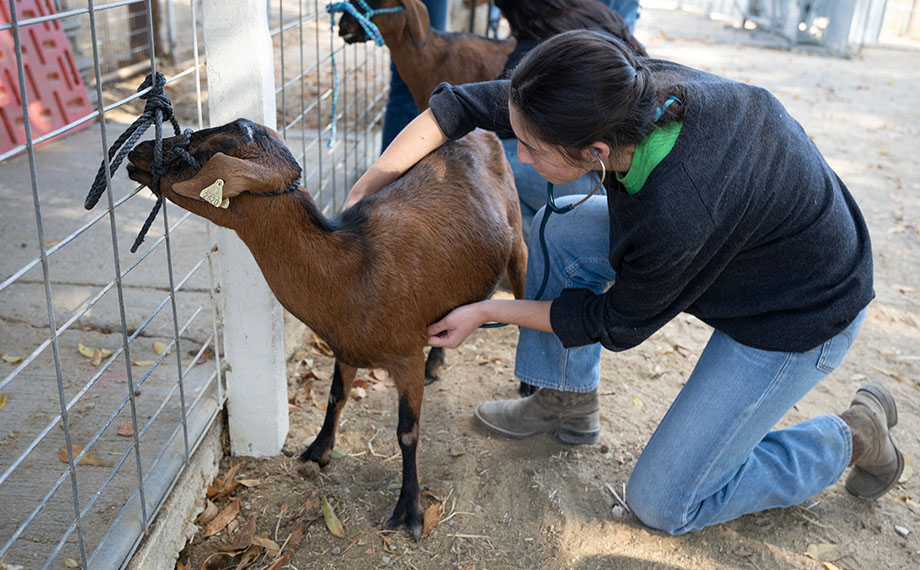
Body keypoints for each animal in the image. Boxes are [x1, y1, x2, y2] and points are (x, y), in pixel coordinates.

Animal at [126, 118, 527, 540]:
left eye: (200, 151)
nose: (135, 153)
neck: (353, 268)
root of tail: (478, 132)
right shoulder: (344, 348)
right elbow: (335, 396)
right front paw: (318, 450)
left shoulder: (406, 357)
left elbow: (407, 433)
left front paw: (409, 511)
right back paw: (437, 362)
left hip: (518, 238)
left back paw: (526, 386)